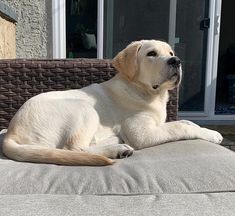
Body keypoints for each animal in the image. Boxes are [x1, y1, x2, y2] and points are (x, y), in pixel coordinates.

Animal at [1, 40, 222, 165]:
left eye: (170, 53)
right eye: (151, 54)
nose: (176, 61)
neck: (145, 92)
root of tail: (11, 133)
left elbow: (185, 122)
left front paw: (207, 129)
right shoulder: (141, 133)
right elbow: (179, 128)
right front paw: (211, 134)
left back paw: (116, 142)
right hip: (84, 108)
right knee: (73, 148)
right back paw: (117, 150)